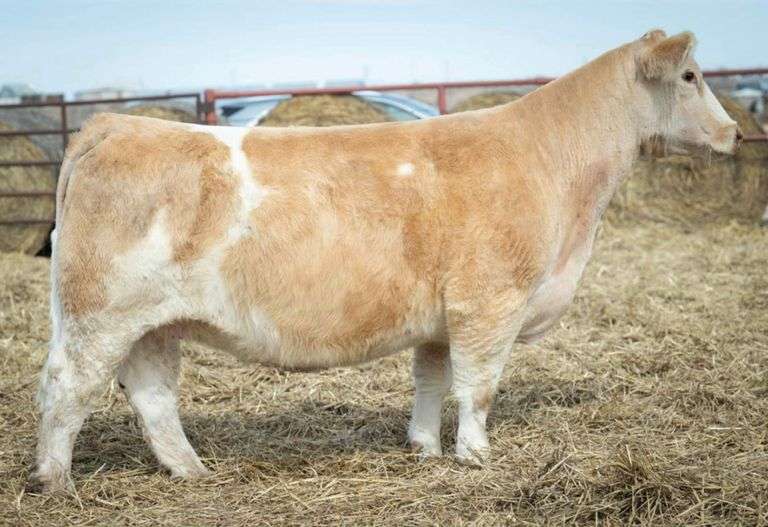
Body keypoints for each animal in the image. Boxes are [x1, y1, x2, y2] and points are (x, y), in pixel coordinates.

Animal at [30, 29, 740, 493]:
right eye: (690, 76)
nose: (735, 132)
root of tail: (113, 126)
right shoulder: (490, 302)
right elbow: (477, 386)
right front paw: (475, 456)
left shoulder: (439, 318)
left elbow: (430, 382)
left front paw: (425, 449)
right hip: (101, 314)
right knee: (67, 386)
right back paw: (56, 482)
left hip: (153, 324)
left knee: (152, 396)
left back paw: (192, 470)